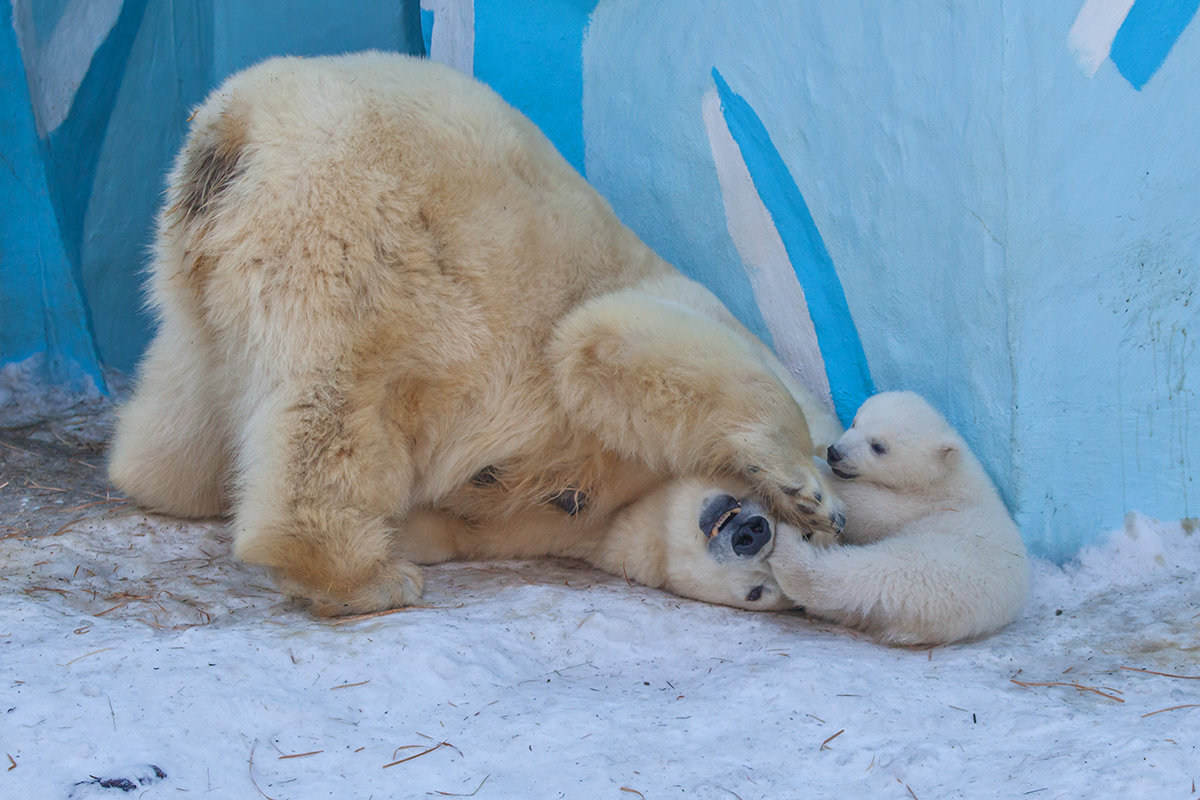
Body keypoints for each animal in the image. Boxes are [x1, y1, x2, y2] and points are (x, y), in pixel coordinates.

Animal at [110, 53, 844, 618]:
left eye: (766, 589)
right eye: (779, 557)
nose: (749, 532)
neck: (625, 496)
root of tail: (239, 122)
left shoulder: (539, 520)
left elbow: (461, 514)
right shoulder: (684, 306)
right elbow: (610, 338)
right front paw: (810, 493)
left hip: (198, 267)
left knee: (189, 407)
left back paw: (161, 476)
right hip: (358, 225)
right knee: (341, 393)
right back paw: (361, 577)